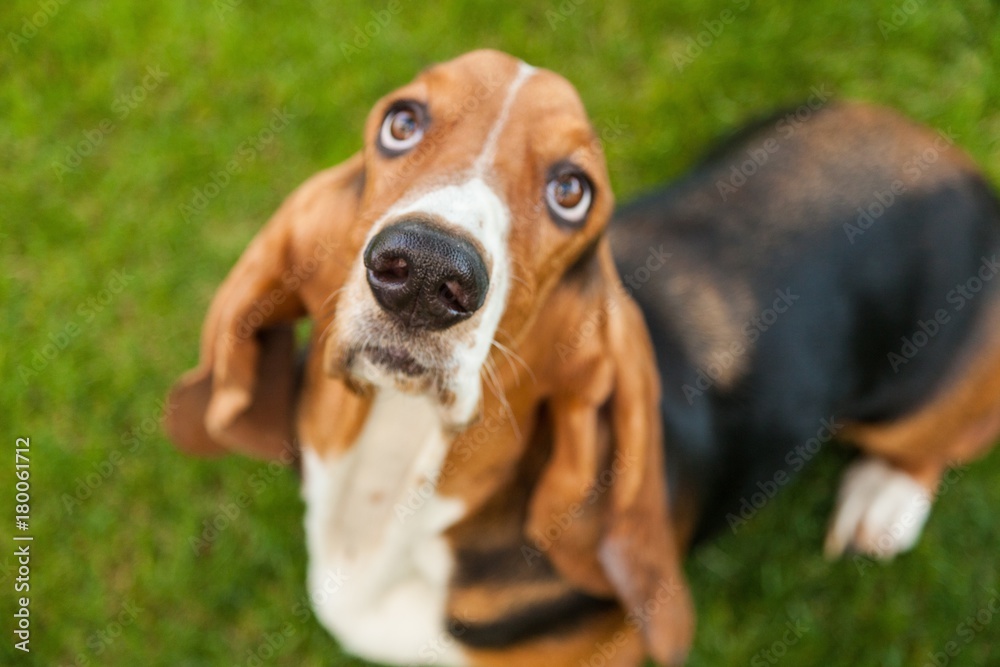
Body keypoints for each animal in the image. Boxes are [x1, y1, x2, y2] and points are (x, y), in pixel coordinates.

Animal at [164, 48, 1000, 667]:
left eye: (572, 190)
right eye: (401, 121)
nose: (429, 271)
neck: (395, 475)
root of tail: (958, 166)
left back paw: (883, 501)